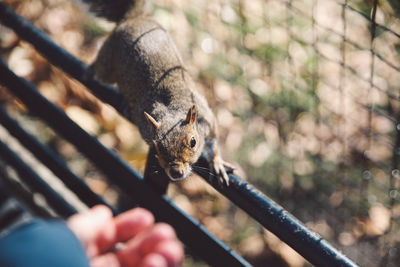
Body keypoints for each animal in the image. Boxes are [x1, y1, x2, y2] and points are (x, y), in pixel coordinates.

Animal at [86, 0, 233, 185]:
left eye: (193, 142)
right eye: (156, 146)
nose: (176, 172)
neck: (173, 107)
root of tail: (136, 18)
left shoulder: (207, 120)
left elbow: (213, 143)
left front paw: (217, 162)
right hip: (108, 64)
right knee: (100, 68)